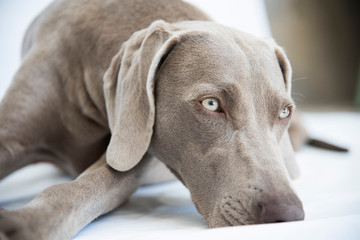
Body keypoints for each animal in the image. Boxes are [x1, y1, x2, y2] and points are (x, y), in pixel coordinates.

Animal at [0, 0, 304, 239]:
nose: (287, 212)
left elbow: (86, 187)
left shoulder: (135, 156)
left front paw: (23, 222)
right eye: (211, 103)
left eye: (284, 112)